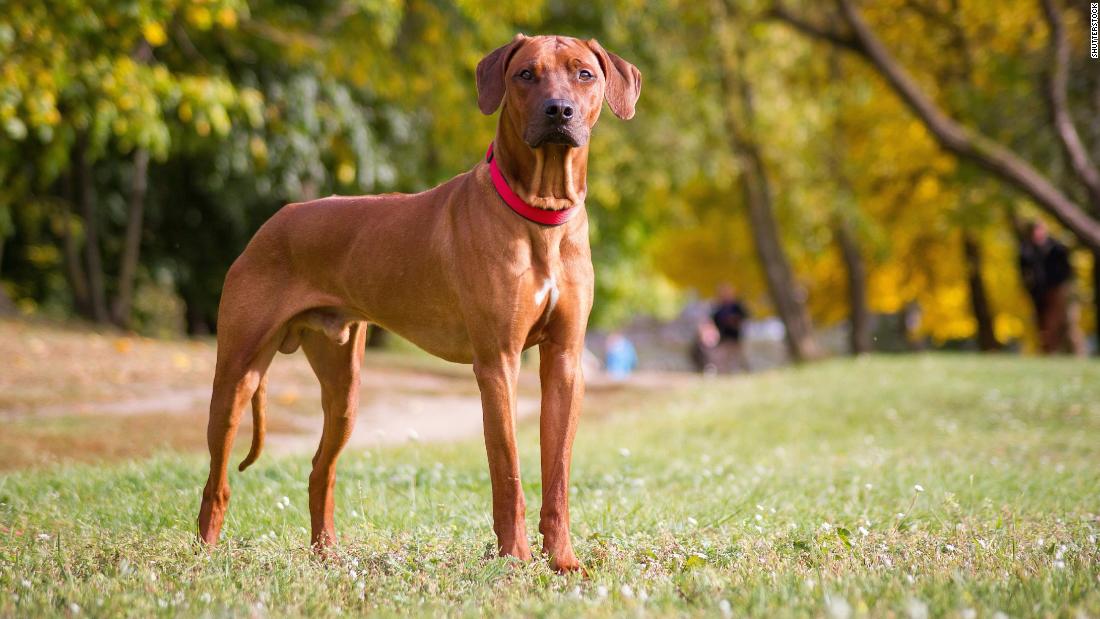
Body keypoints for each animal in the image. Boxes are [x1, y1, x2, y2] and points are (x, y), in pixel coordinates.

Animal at [198, 35, 642, 576]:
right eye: (526, 75)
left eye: (584, 74)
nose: (559, 111)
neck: (540, 215)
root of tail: (272, 222)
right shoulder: (497, 363)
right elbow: (508, 471)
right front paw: (513, 559)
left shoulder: (565, 360)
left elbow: (556, 473)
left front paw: (562, 560)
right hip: (237, 374)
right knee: (216, 480)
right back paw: (204, 555)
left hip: (344, 389)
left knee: (320, 471)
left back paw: (327, 555)